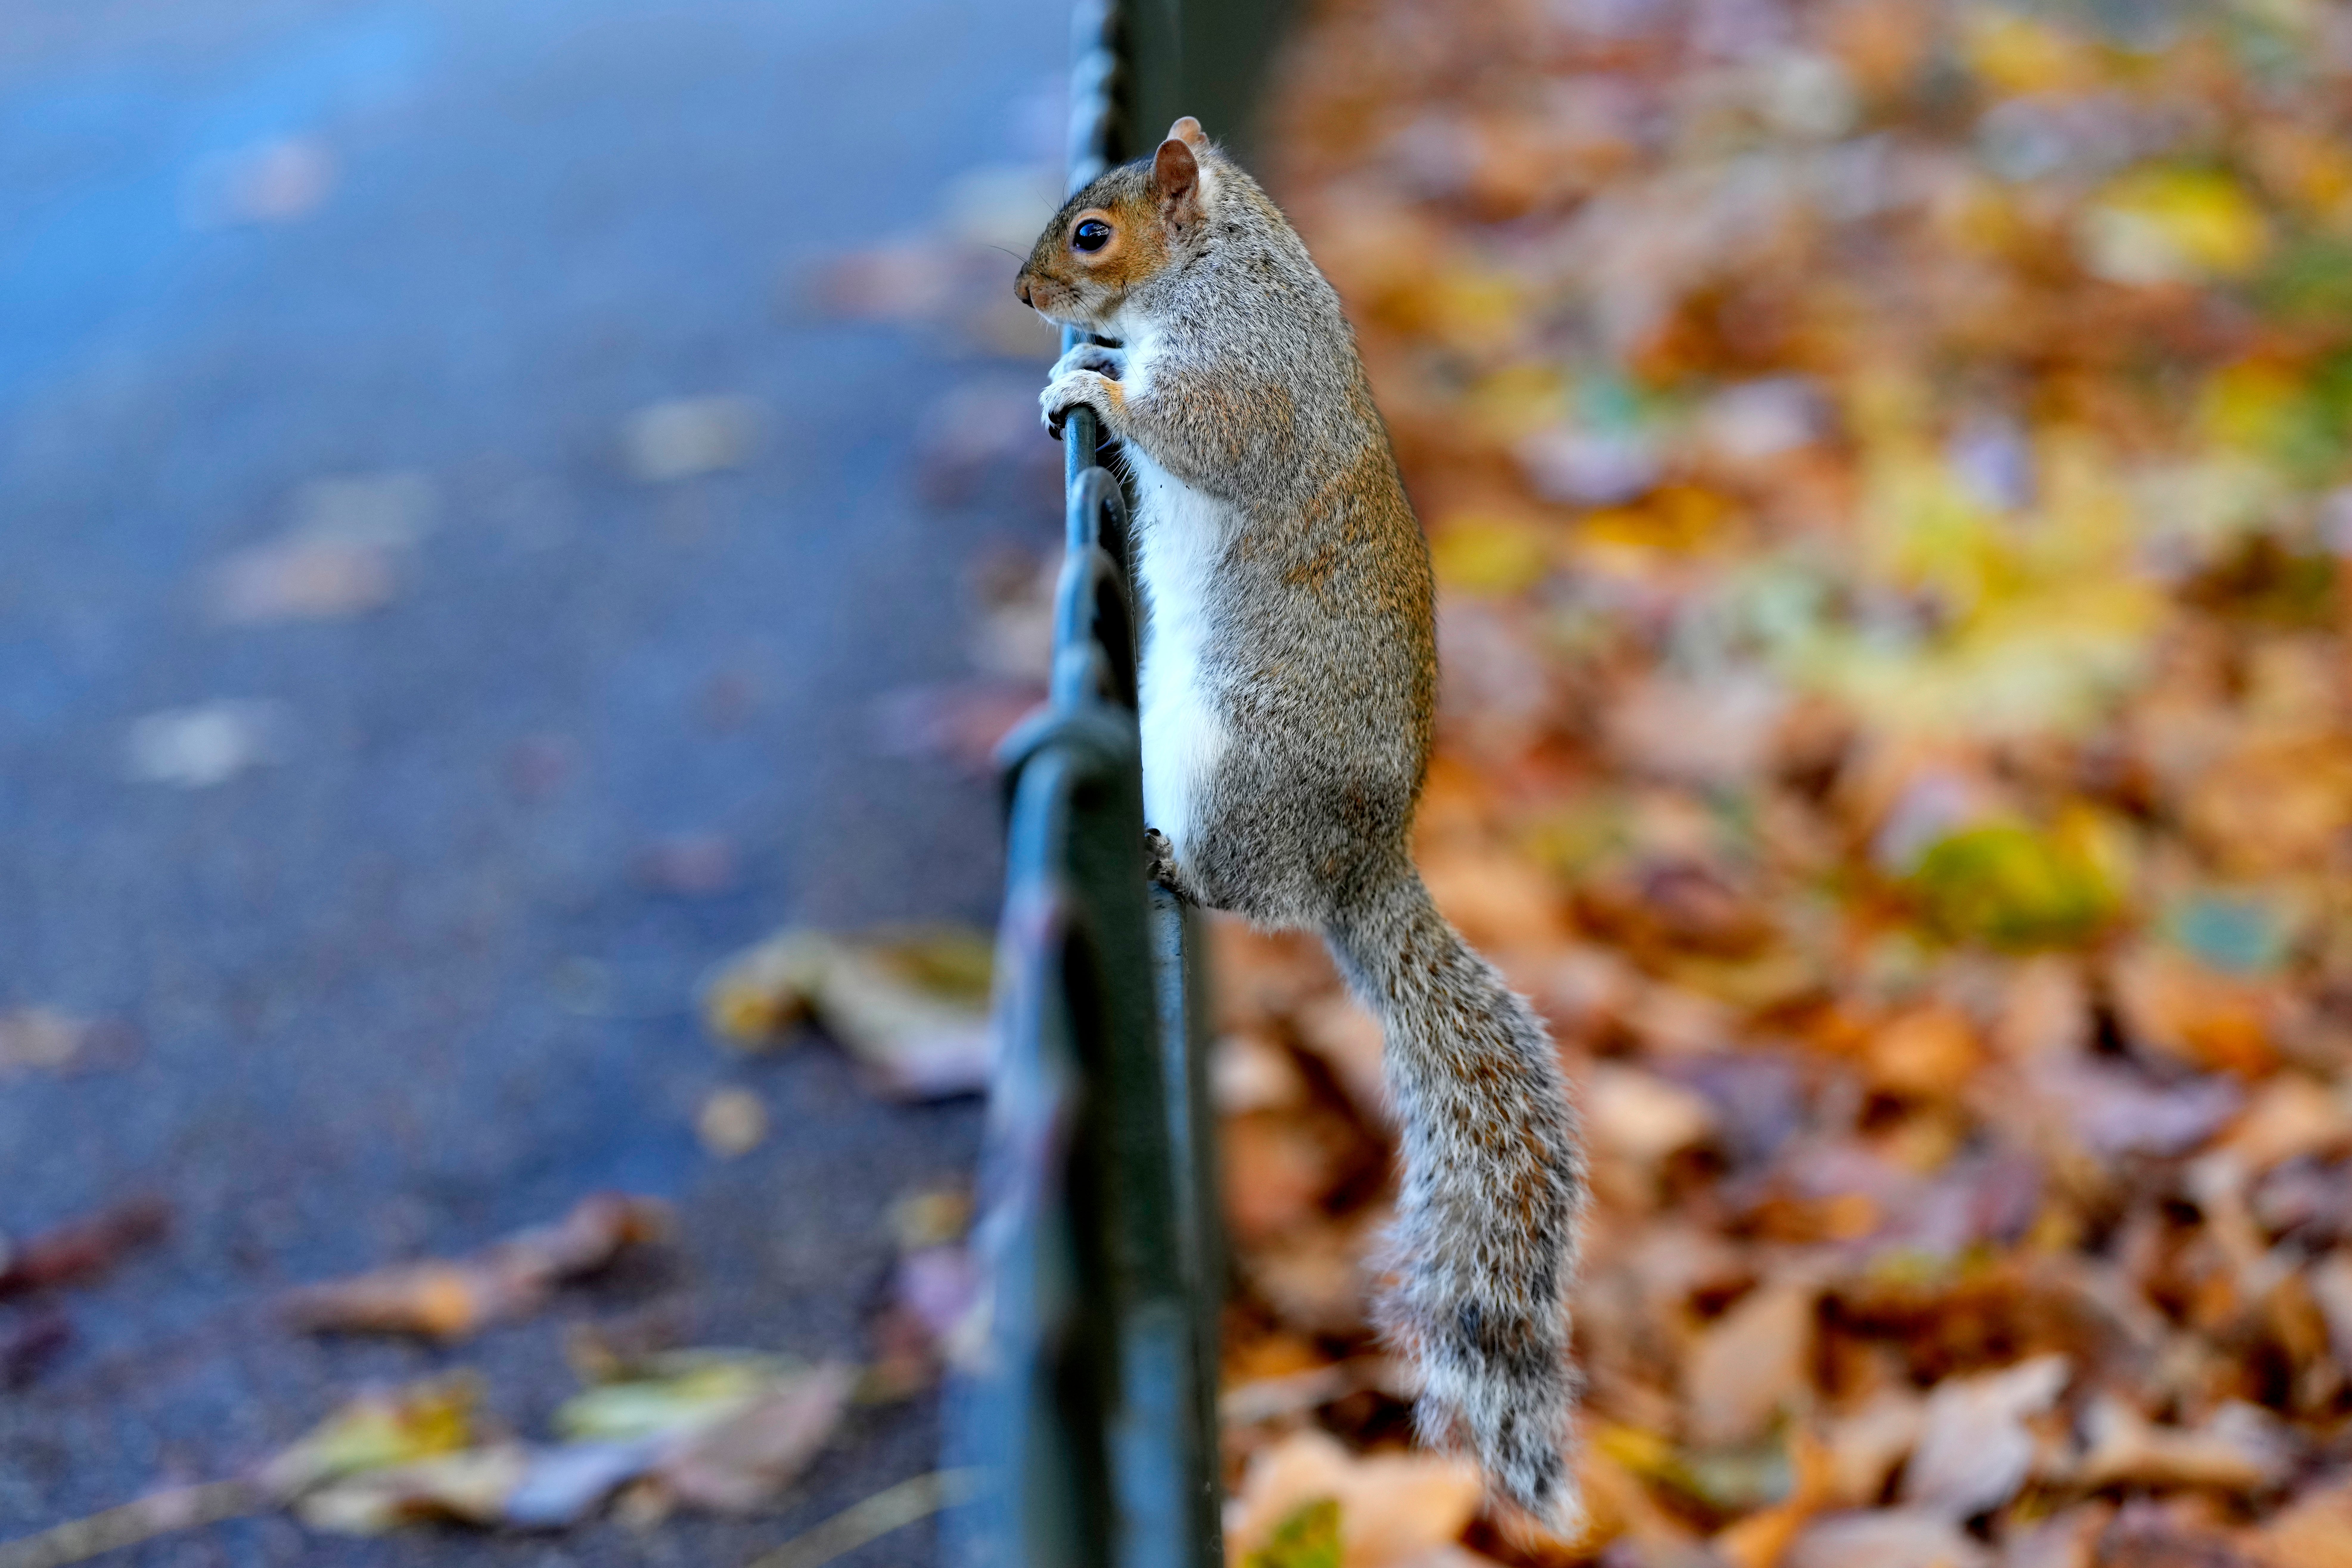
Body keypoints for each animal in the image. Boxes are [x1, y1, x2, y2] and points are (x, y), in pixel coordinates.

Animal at [1014, 117, 1588, 1525]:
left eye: (1092, 235)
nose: (1028, 295)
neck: (1224, 260)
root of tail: (1359, 862)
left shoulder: (1246, 371)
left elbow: (1198, 428)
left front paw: (1097, 392)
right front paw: (1080, 365)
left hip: (1239, 769)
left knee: (1246, 891)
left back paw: (1175, 862)